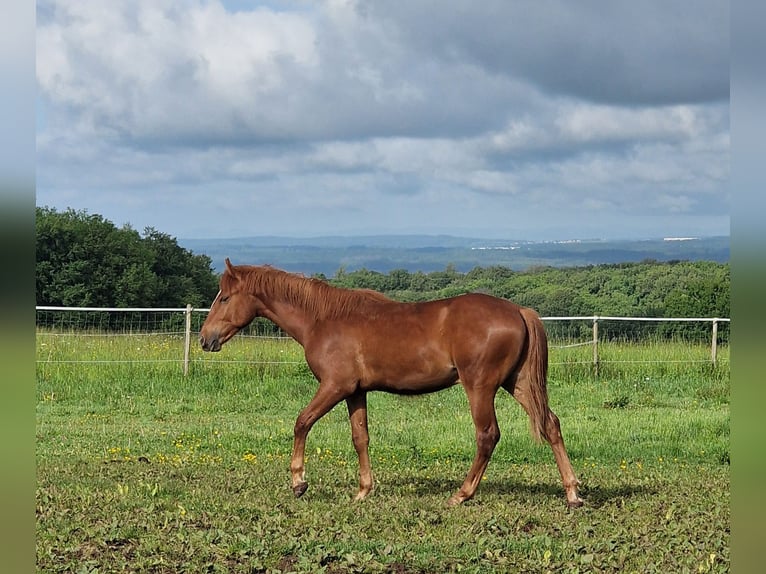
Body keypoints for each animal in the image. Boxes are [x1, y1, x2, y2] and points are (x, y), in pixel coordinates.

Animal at [199, 259, 583, 507]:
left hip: (480, 387)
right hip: (517, 383)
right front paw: (363, 490)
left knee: (487, 435)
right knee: (551, 424)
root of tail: (519, 311)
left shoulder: (334, 387)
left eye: (224, 297)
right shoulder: (355, 392)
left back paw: (461, 494)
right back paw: (572, 492)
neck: (323, 319)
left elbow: (301, 422)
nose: (205, 339)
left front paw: (299, 482)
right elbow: (360, 438)